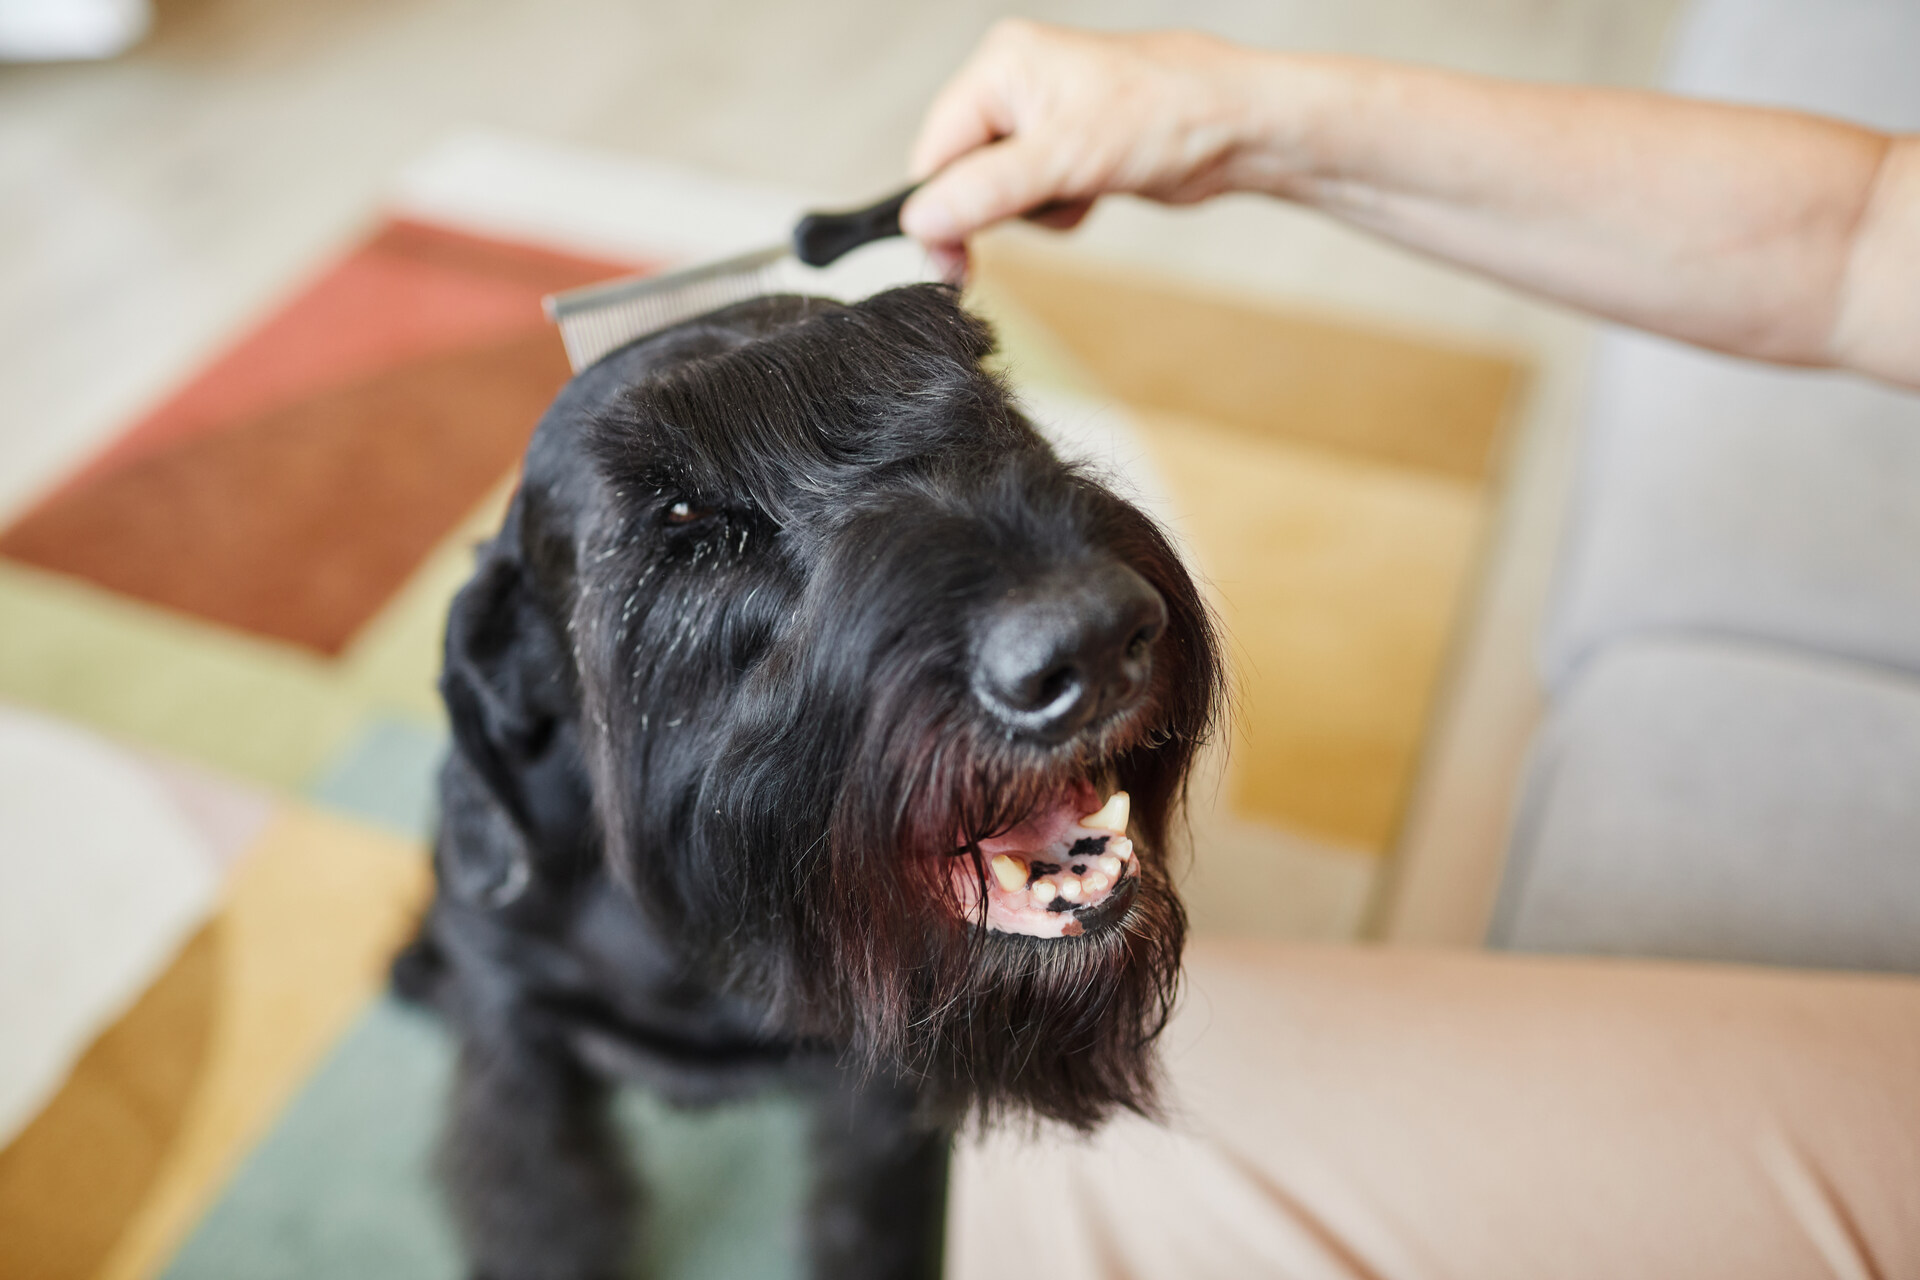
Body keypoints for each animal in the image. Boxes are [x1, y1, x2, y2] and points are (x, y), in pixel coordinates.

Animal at [397, 282, 1221, 1280]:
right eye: (681, 517)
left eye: (976, 392)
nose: (1093, 641)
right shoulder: (515, 1041)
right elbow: (541, 1213)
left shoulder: (884, 1094)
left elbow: (868, 1220)